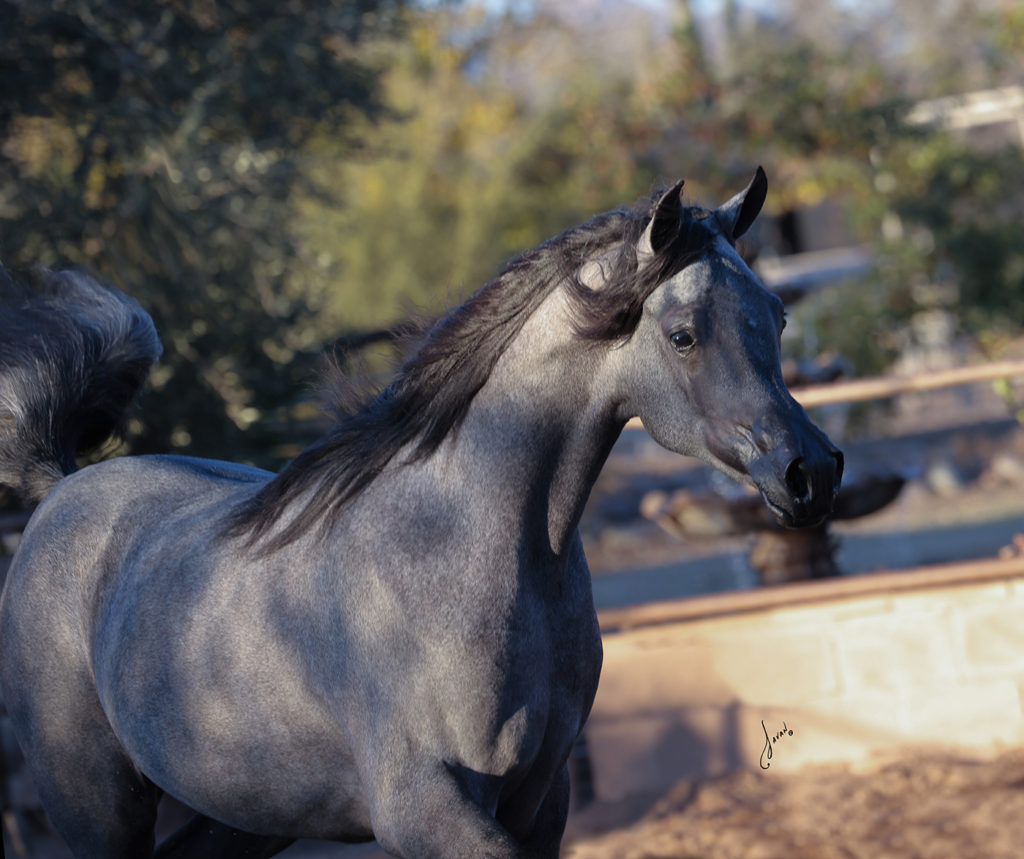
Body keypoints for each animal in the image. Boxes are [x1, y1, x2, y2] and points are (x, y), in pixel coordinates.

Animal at [2, 169, 839, 859]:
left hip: (245, 811)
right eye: (683, 334)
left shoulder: (543, 795)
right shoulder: (422, 808)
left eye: (776, 315)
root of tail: (59, 490)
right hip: (98, 810)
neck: (458, 548)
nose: (812, 471)